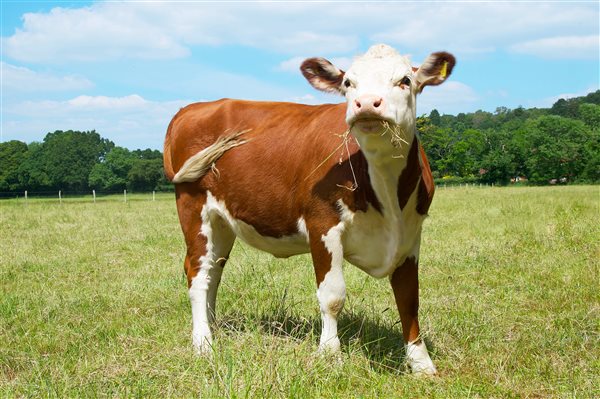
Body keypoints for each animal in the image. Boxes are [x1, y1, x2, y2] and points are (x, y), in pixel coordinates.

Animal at [164, 44, 454, 378]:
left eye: (405, 80)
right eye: (348, 83)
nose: (366, 103)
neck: (385, 192)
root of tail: (192, 107)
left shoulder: (410, 235)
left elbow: (409, 297)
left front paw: (421, 363)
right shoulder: (322, 225)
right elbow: (332, 296)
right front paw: (329, 354)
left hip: (222, 222)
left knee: (214, 271)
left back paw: (211, 327)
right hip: (193, 206)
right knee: (197, 274)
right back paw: (203, 342)